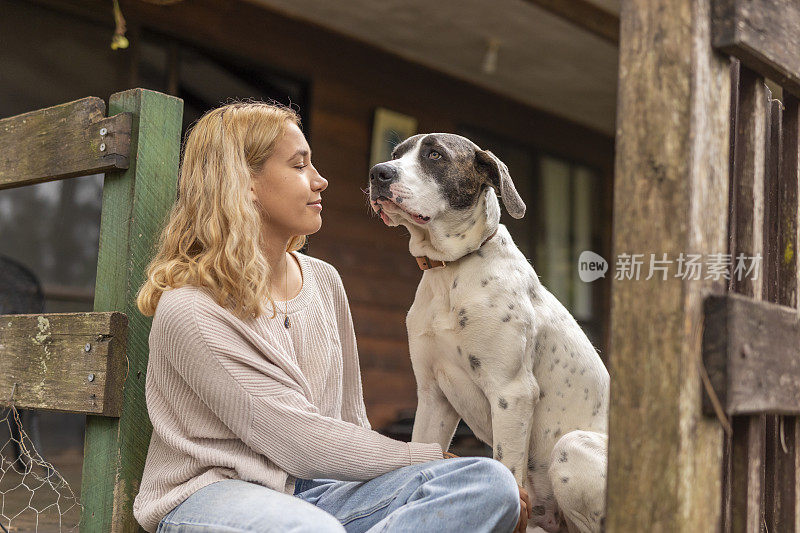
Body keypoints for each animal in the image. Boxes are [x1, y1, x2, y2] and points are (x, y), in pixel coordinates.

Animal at [368, 133, 608, 532]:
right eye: (396, 154)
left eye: (435, 155)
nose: (378, 173)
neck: (449, 271)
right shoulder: (432, 397)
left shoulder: (513, 393)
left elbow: (507, 472)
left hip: (571, 448)